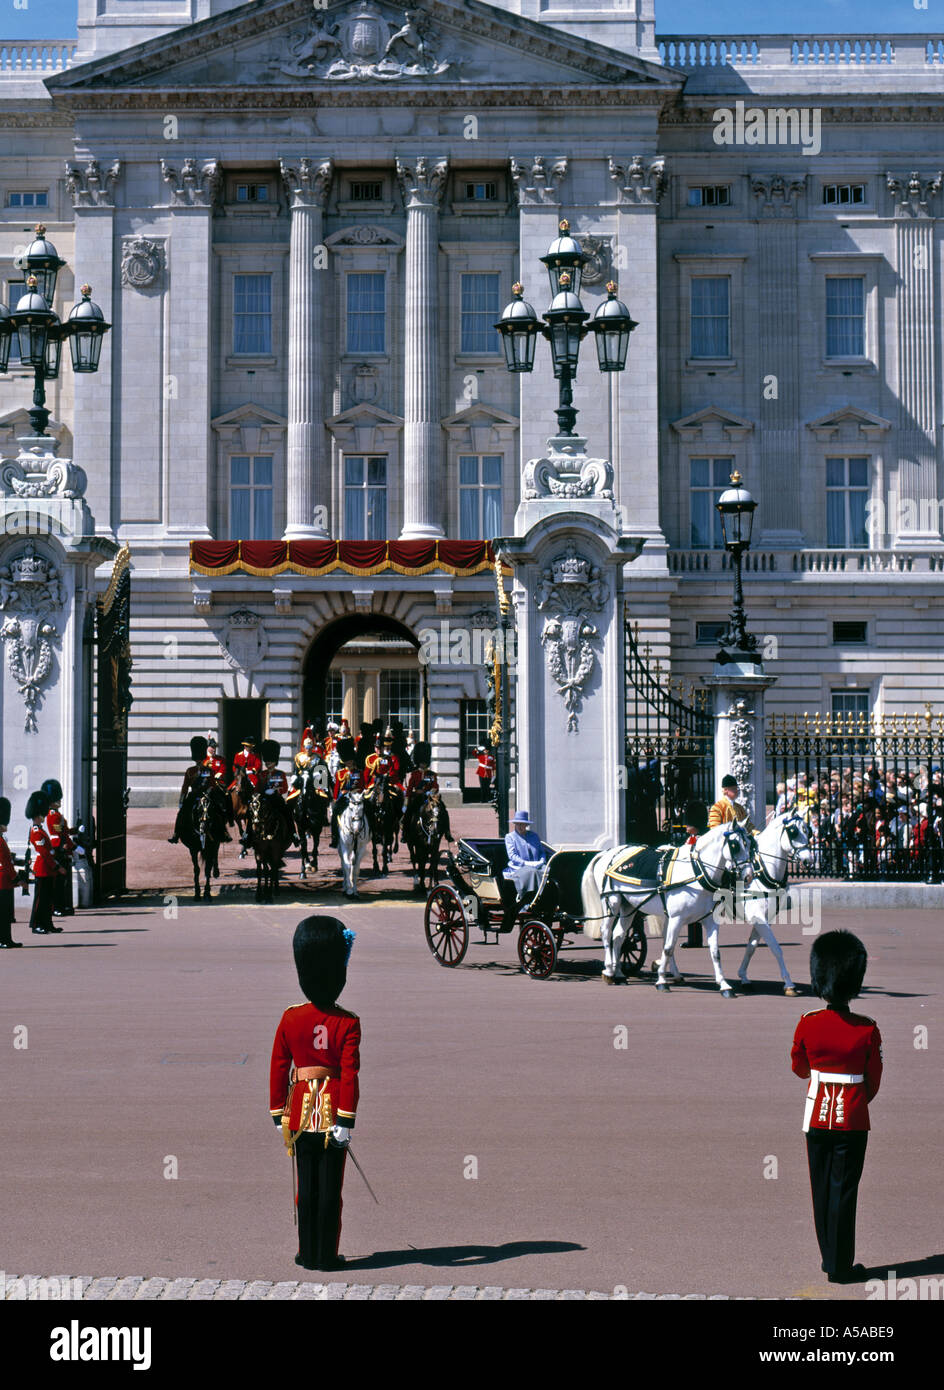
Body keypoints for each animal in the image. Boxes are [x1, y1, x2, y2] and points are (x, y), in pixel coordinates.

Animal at [586, 817, 756, 995]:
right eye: (735, 845)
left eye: (750, 844)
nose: (749, 876)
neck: (697, 872)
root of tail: (608, 852)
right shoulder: (676, 918)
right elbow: (668, 947)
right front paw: (661, 980)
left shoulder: (709, 920)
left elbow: (715, 952)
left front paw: (724, 985)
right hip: (612, 903)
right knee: (606, 932)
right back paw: (609, 971)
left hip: (629, 907)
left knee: (619, 935)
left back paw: (619, 973)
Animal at [739, 811, 811, 995]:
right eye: (793, 831)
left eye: (807, 830)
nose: (809, 860)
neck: (762, 871)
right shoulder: (757, 916)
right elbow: (775, 947)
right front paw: (789, 984)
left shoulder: (765, 917)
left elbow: (751, 947)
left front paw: (743, 977)